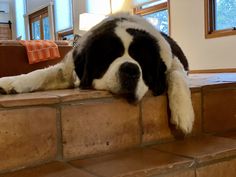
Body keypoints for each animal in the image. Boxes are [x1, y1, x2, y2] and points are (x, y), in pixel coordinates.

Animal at [0, 13, 194, 133]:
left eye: (142, 61)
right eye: (109, 56)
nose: (131, 70)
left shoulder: (172, 62)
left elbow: (177, 75)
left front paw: (184, 114)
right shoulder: (68, 68)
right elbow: (41, 74)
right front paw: (9, 82)